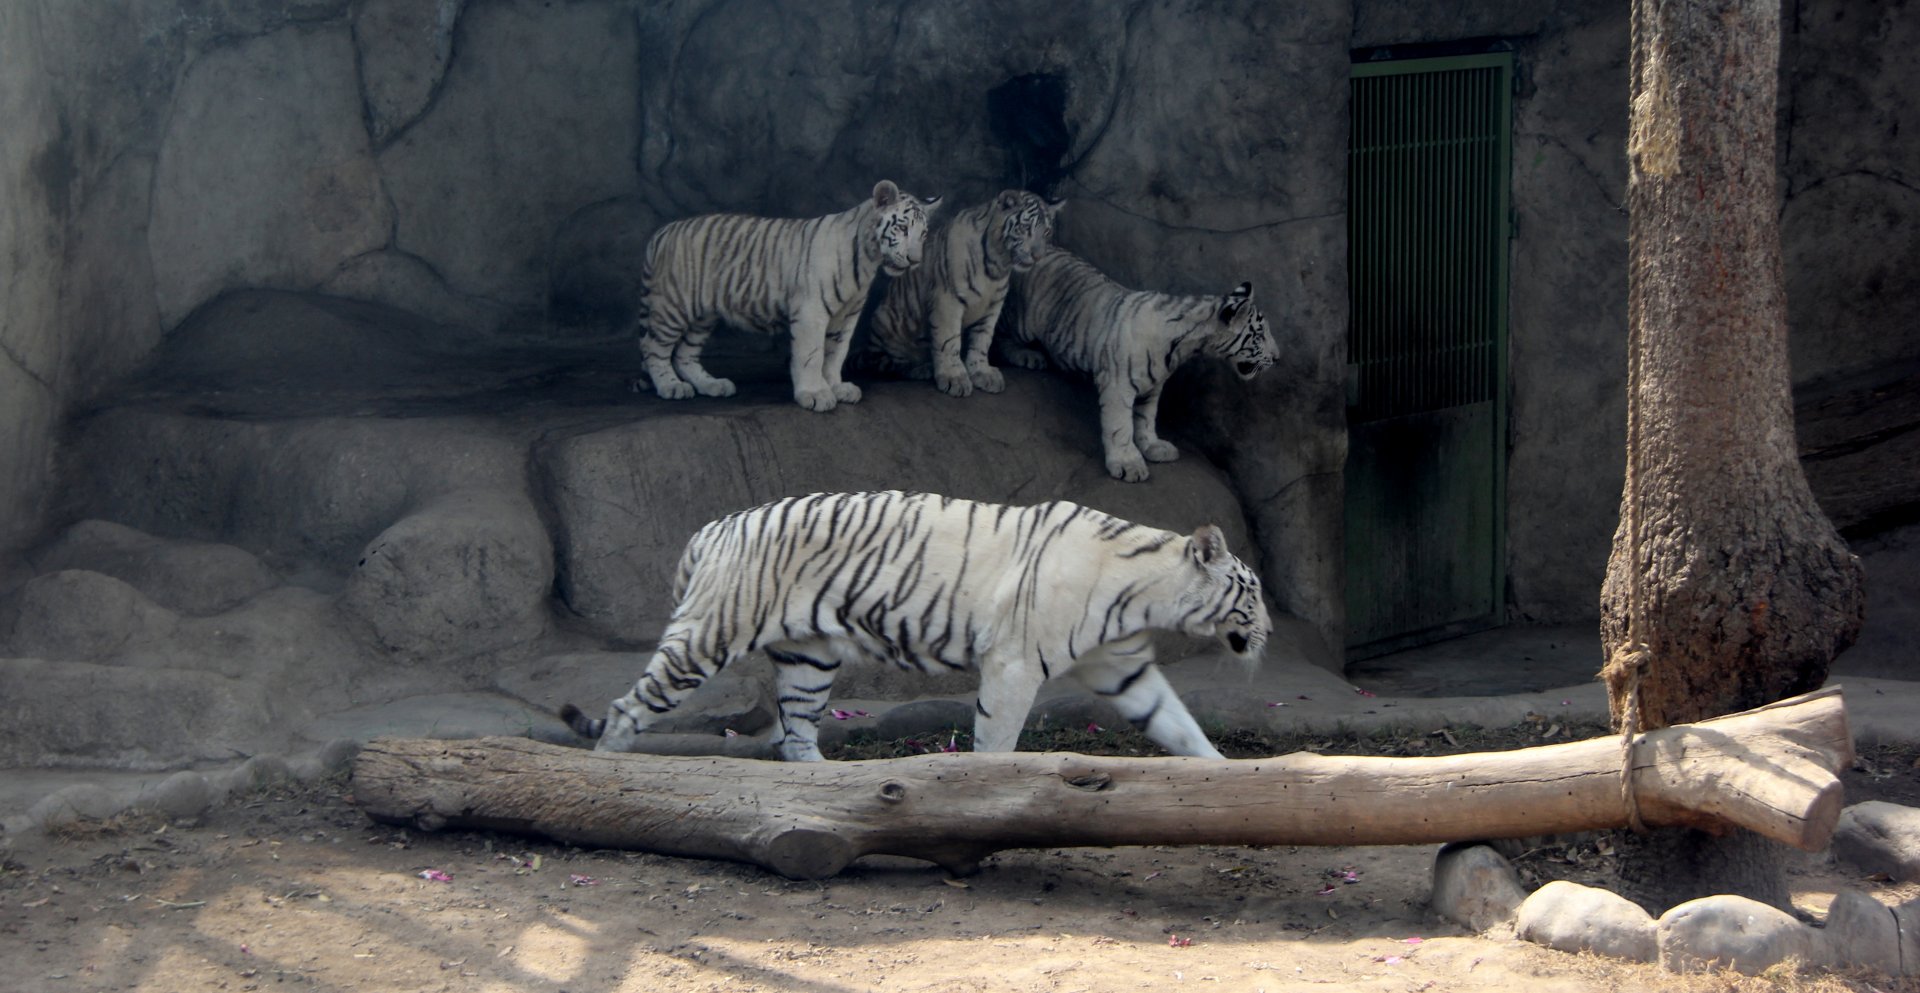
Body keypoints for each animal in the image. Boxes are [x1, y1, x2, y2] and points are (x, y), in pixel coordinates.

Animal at [560, 490, 1269, 762]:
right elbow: (996, 741)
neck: (1145, 591)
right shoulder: (1013, 663)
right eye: (1255, 593)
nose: (1269, 634)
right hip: (707, 636)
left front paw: (1226, 776)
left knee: (796, 738)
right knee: (627, 710)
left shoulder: (1122, 666)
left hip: (809, 658)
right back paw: (614, 772)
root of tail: (713, 527)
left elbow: (1179, 725)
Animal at [636, 180, 941, 412]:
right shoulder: (811, 312)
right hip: (673, 307)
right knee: (653, 348)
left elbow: (836, 354)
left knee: (685, 354)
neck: (868, 260)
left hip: (703, 316)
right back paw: (671, 386)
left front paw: (836, 386)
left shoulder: (847, 317)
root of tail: (661, 233)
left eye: (924, 234)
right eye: (902, 228)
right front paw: (815, 394)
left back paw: (713, 385)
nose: (915, 260)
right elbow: (812, 355)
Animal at [861, 190, 1062, 397]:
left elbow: (982, 340)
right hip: (884, 321)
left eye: (1046, 232)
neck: (998, 264)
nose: (1038, 256)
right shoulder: (947, 300)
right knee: (887, 362)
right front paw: (954, 377)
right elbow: (949, 341)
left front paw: (982, 372)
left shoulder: (993, 306)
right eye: (1024, 228)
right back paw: (921, 368)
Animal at [997, 250, 1280, 482]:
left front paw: (1154, 447)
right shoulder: (1118, 384)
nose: (1278, 357)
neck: (1184, 347)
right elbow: (1120, 425)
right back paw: (1025, 356)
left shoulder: (1153, 385)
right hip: (1022, 321)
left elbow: (1145, 418)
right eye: (1260, 335)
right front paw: (1128, 465)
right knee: (1001, 333)